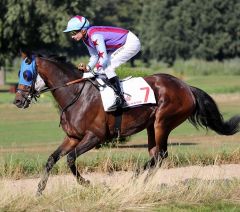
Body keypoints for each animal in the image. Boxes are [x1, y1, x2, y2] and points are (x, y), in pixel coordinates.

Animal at [13, 55, 240, 195]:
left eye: (26, 74)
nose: (17, 100)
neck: (76, 95)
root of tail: (186, 87)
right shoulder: (73, 137)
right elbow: (51, 159)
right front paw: (39, 191)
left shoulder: (94, 137)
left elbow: (69, 159)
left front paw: (88, 184)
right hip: (152, 126)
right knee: (156, 156)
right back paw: (140, 183)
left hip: (162, 122)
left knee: (161, 154)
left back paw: (134, 180)